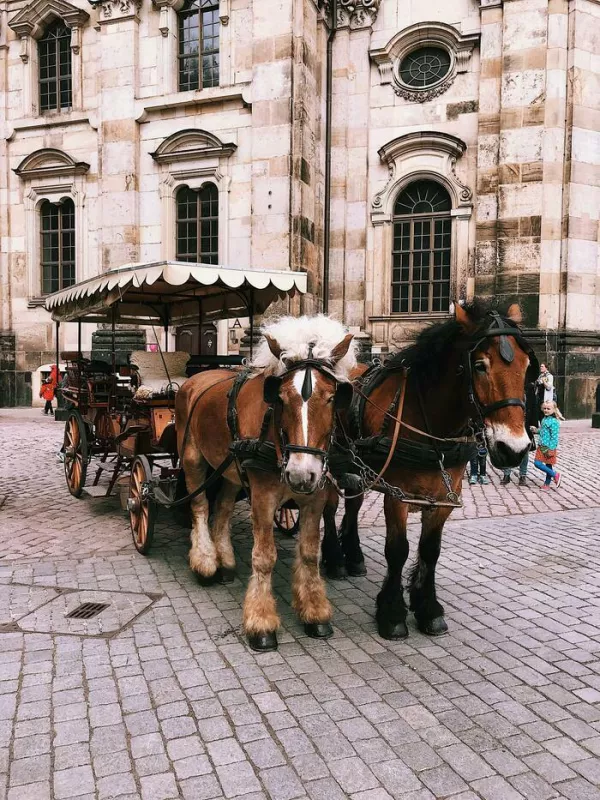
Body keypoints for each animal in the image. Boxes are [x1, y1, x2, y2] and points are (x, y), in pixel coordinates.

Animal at [176, 312, 356, 648]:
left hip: (232, 469)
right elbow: (263, 557)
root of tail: (193, 380)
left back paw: (225, 562)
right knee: (200, 506)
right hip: (193, 458)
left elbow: (309, 553)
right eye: (281, 397)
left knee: (222, 508)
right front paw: (261, 622)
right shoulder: (262, 495)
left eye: (331, 397)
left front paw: (314, 612)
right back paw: (206, 561)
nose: (300, 473)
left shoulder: (315, 496)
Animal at [324, 304, 536, 640]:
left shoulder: (444, 496)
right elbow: (398, 550)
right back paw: (334, 560)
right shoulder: (397, 495)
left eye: (527, 366)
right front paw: (392, 613)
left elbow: (430, 549)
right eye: (480, 365)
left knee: (353, 506)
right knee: (330, 509)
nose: (513, 448)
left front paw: (428, 608)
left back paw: (354, 556)